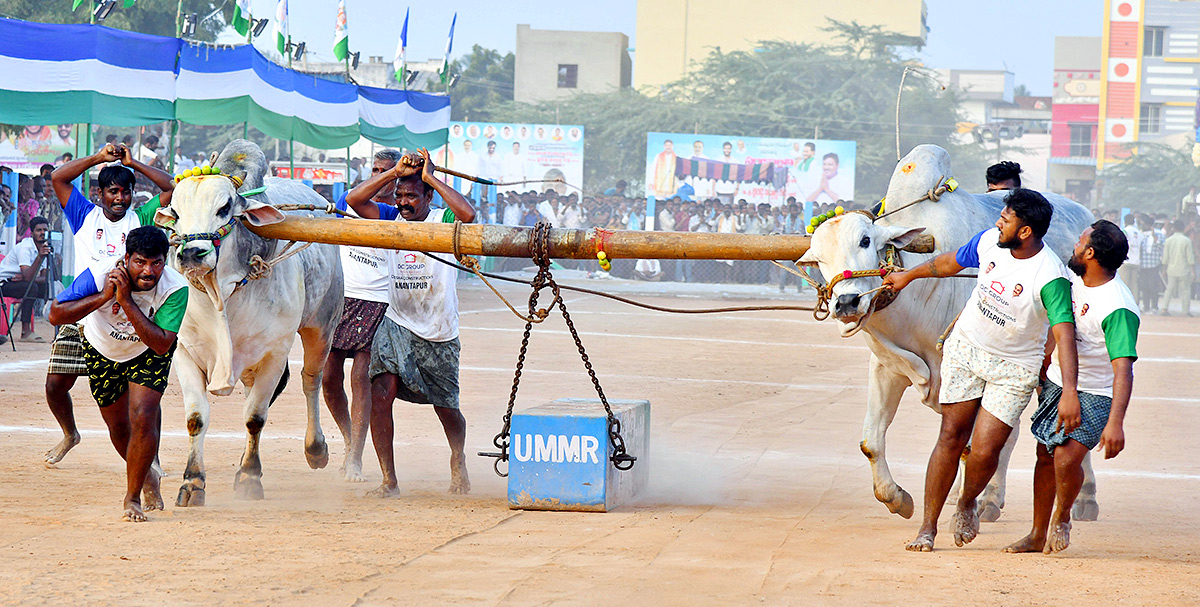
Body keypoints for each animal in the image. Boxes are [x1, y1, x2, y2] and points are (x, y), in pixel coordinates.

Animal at [157, 139, 345, 506]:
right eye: (176, 211)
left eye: (225, 207)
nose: (191, 254)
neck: (221, 295)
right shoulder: (185, 352)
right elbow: (196, 418)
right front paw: (192, 482)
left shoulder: (275, 354)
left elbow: (254, 417)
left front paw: (249, 476)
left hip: (322, 327)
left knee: (311, 381)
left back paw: (315, 449)